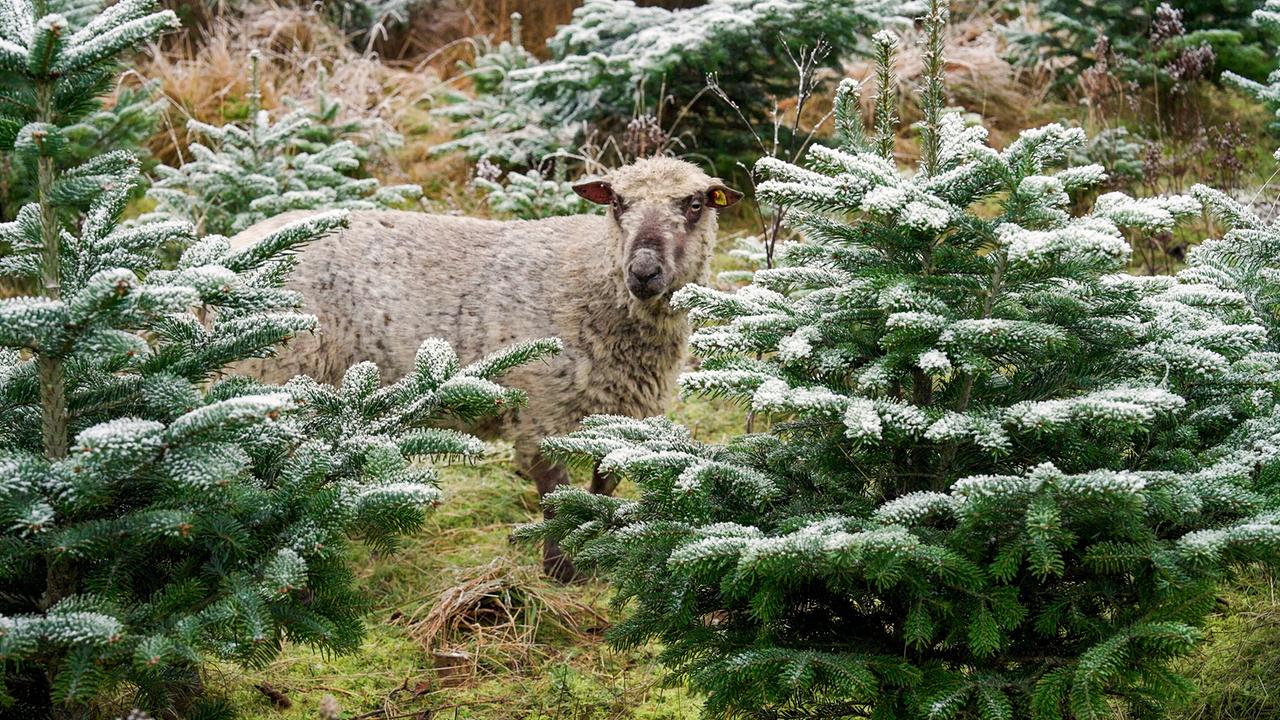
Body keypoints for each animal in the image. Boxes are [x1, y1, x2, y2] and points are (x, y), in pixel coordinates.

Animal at [230, 157, 742, 580]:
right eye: (617, 202)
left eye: (695, 204)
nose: (643, 272)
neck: (590, 277)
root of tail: (231, 252)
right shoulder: (541, 411)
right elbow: (555, 494)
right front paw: (561, 570)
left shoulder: (620, 413)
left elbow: (602, 485)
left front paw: (597, 549)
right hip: (275, 374)